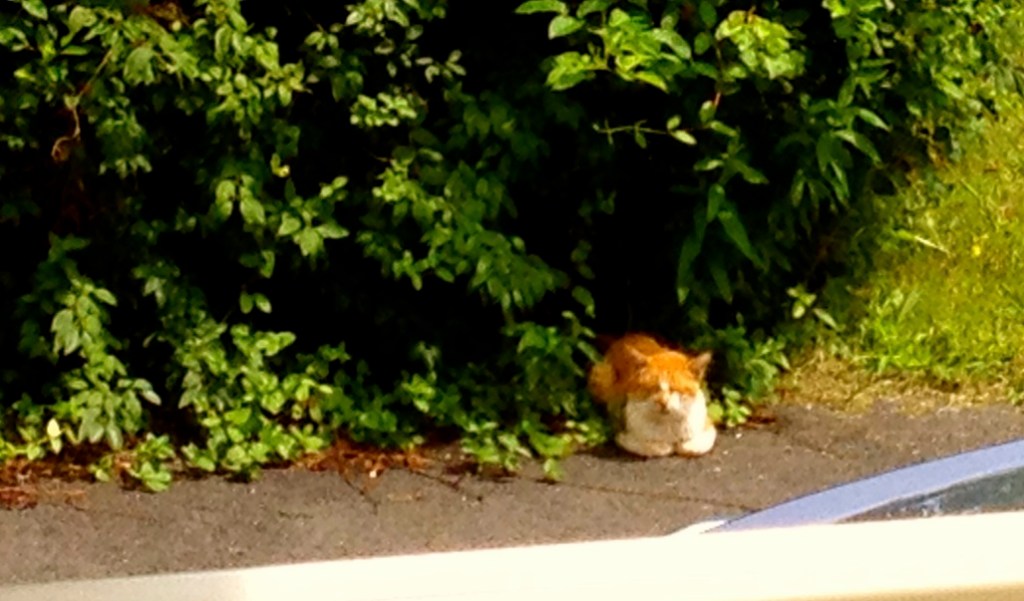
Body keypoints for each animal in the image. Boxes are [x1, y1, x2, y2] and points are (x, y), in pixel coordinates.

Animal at [588, 333, 717, 458]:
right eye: (654, 387)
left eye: (674, 389)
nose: (663, 402)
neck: (668, 423)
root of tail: (626, 336)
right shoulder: (622, 433)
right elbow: (656, 447)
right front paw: (668, 446)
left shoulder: (708, 426)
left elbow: (693, 446)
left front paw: (682, 445)